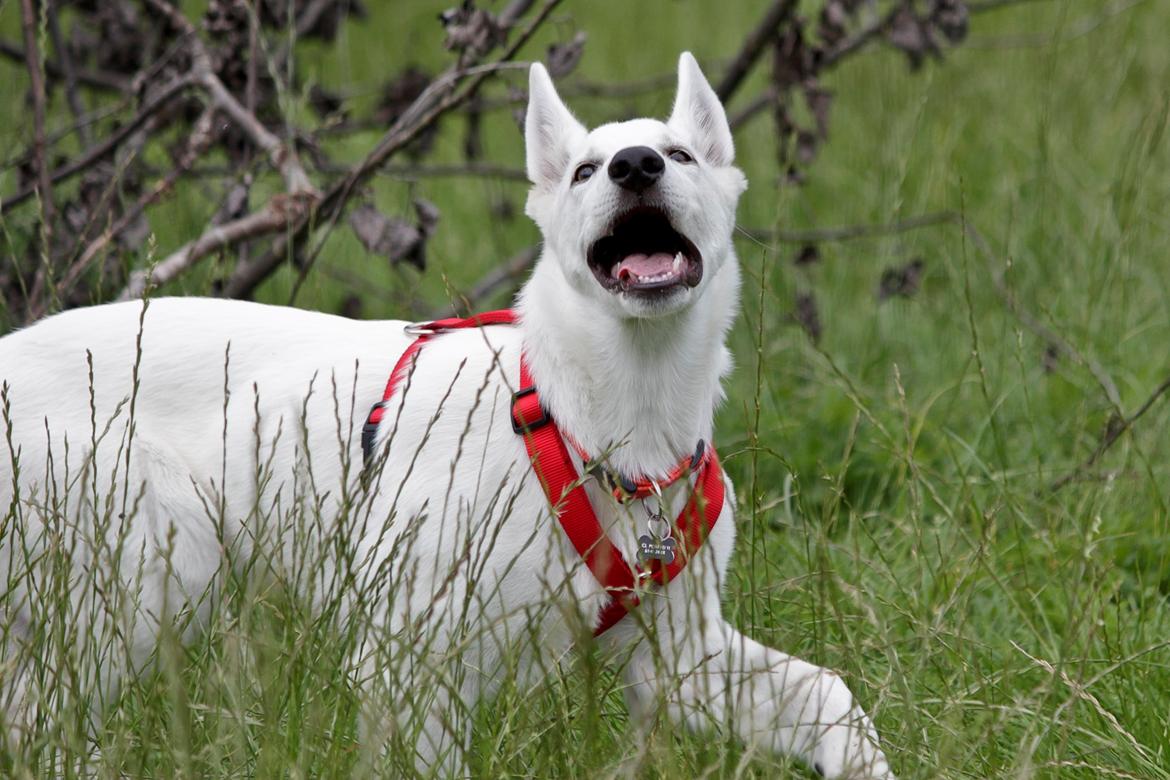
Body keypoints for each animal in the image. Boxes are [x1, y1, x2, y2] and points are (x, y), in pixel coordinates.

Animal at [2, 51, 893, 776]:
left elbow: (834, 698)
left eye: (679, 156)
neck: (600, 417)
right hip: (156, 565)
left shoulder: (683, 662)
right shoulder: (412, 660)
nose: (636, 167)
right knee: (45, 723)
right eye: (584, 172)